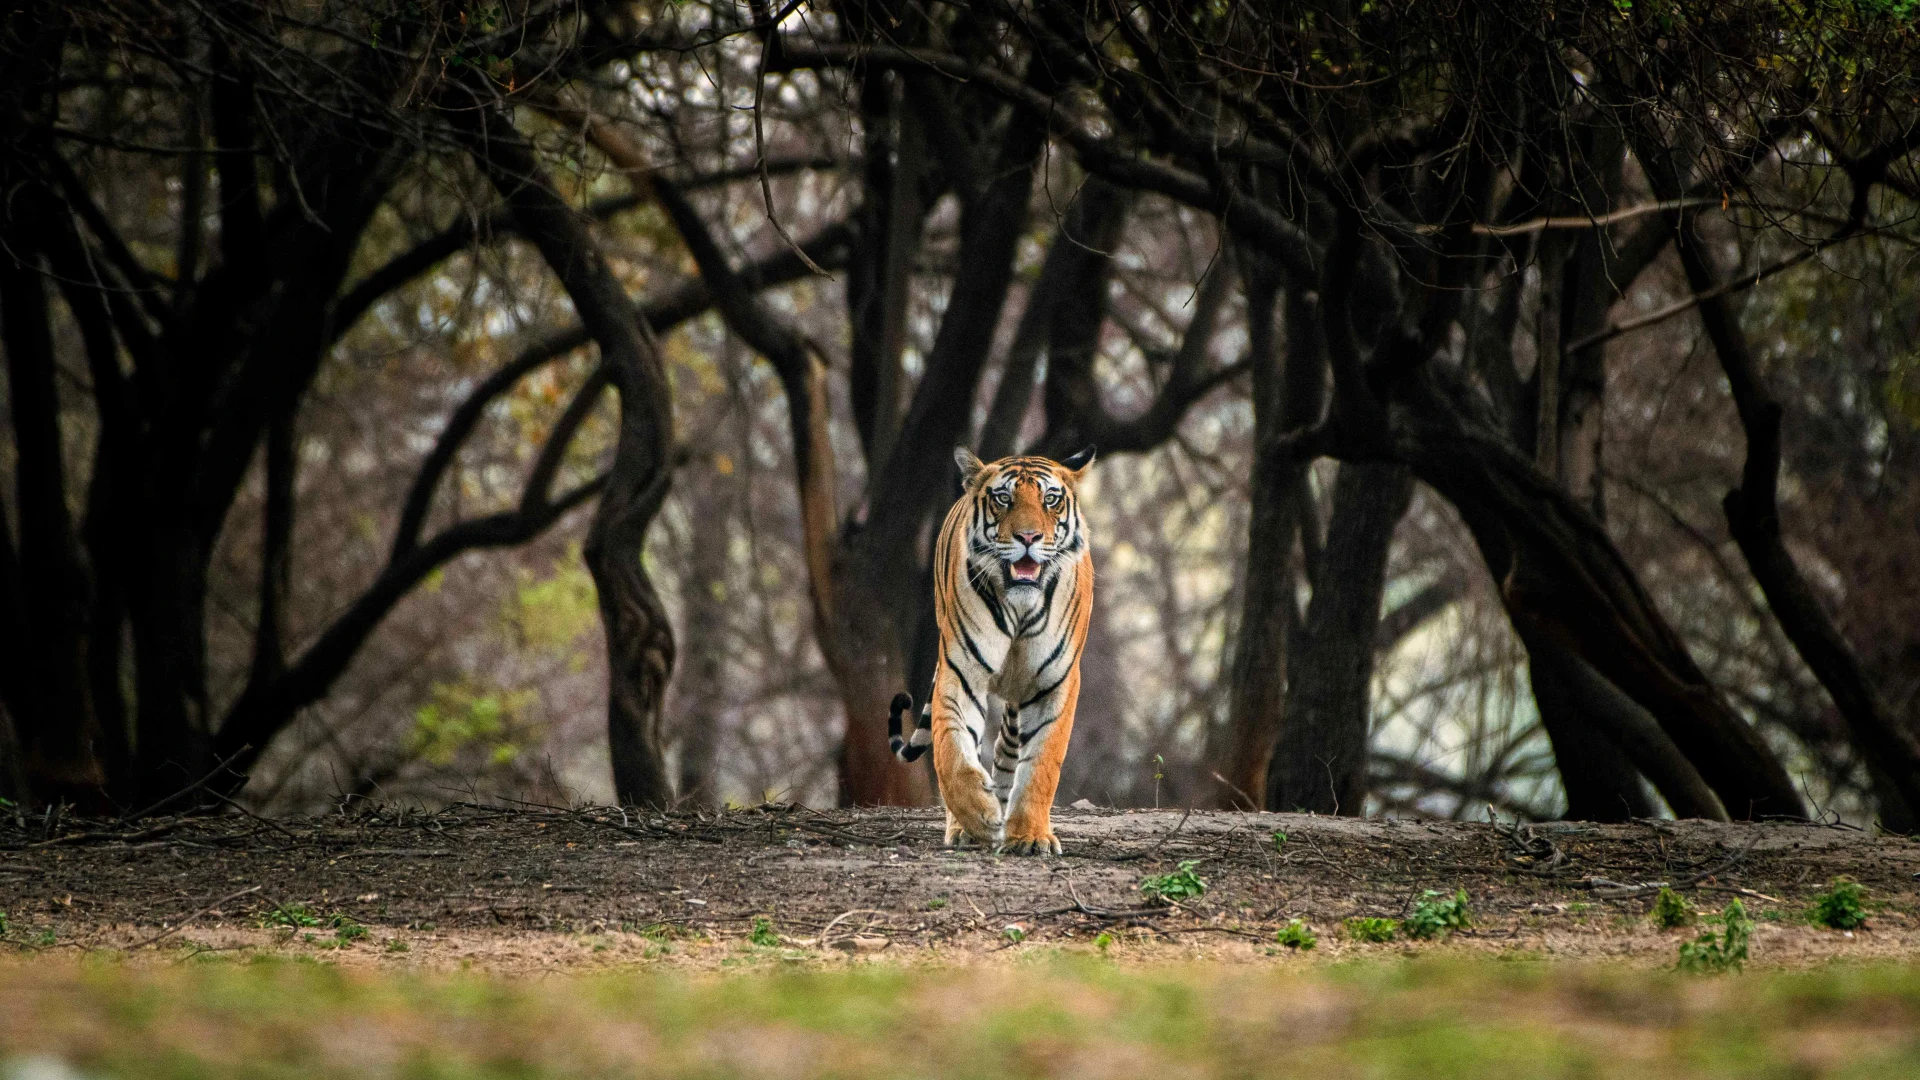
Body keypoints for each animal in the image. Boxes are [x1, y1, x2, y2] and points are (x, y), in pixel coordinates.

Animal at [888, 445, 1096, 855]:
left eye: (1050, 500)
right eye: (1004, 499)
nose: (1028, 537)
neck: (1020, 605)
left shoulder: (1055, 683)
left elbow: (1041, 765)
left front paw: (1029, 835)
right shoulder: (960, 672)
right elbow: (952, 752)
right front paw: (980, 816)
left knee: (1007, 750)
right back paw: (968, 824)